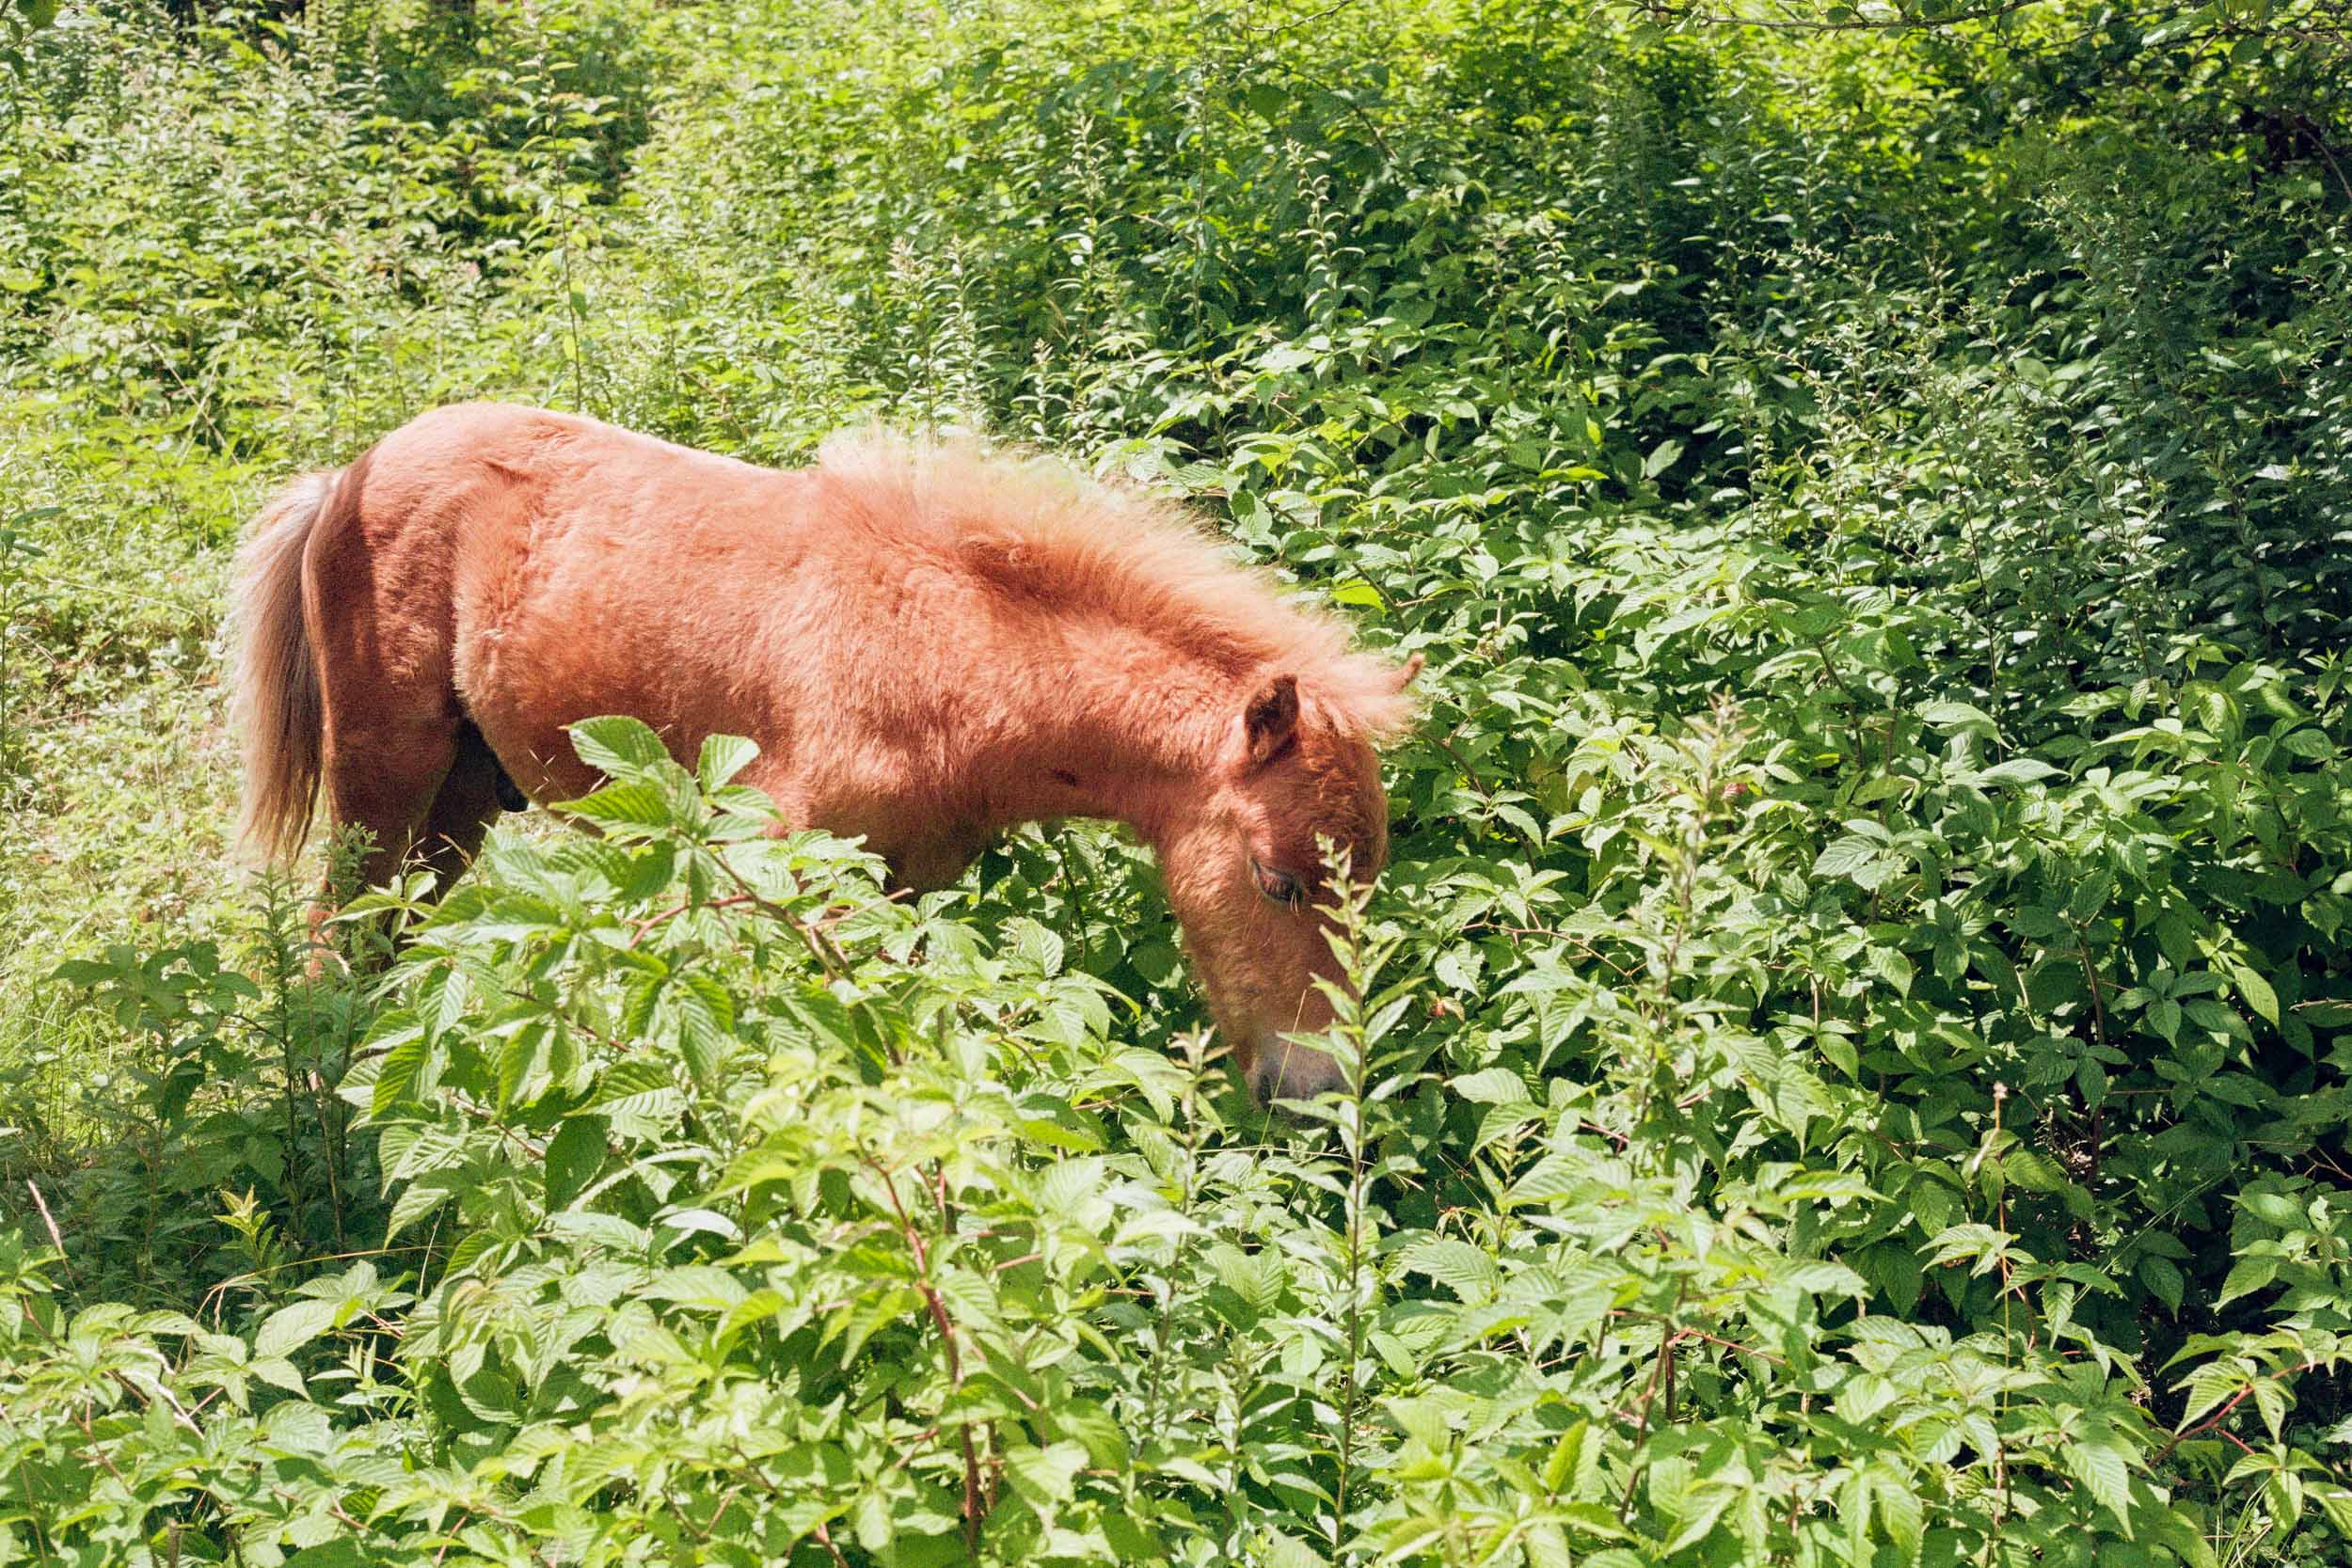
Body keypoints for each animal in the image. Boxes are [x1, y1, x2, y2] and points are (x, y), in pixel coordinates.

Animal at [229, 404, 1421, 1103]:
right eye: (1277, 879)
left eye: (1369, 877)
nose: (1314, 1084)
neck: (945, 652)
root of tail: (346, 473)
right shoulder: (765, 865)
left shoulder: (903, 884)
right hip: (386, 772)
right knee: (339, 932)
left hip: (467, 795)